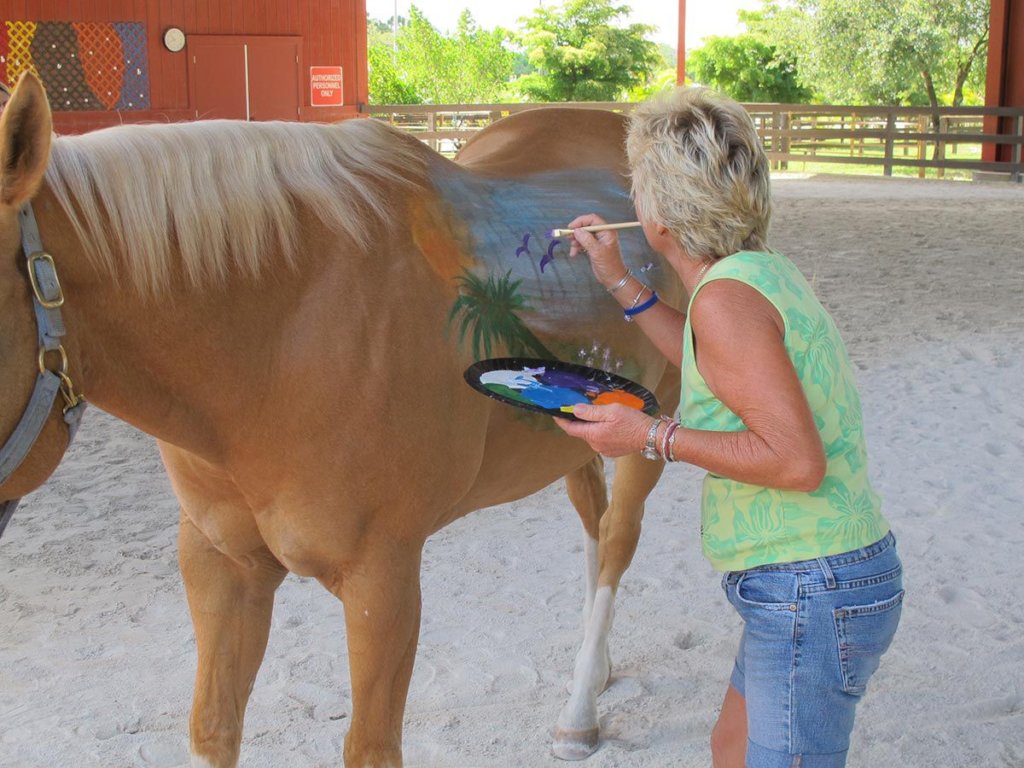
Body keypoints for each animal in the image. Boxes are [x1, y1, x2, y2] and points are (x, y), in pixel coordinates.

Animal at [0, 72, 683, 767]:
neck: (282, 341)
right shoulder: (220, 565)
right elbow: (213, 726)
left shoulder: (381, 583)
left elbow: (370, 746)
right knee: (592, 519)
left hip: (653, 427)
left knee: (618, 537)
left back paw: (580, 710)